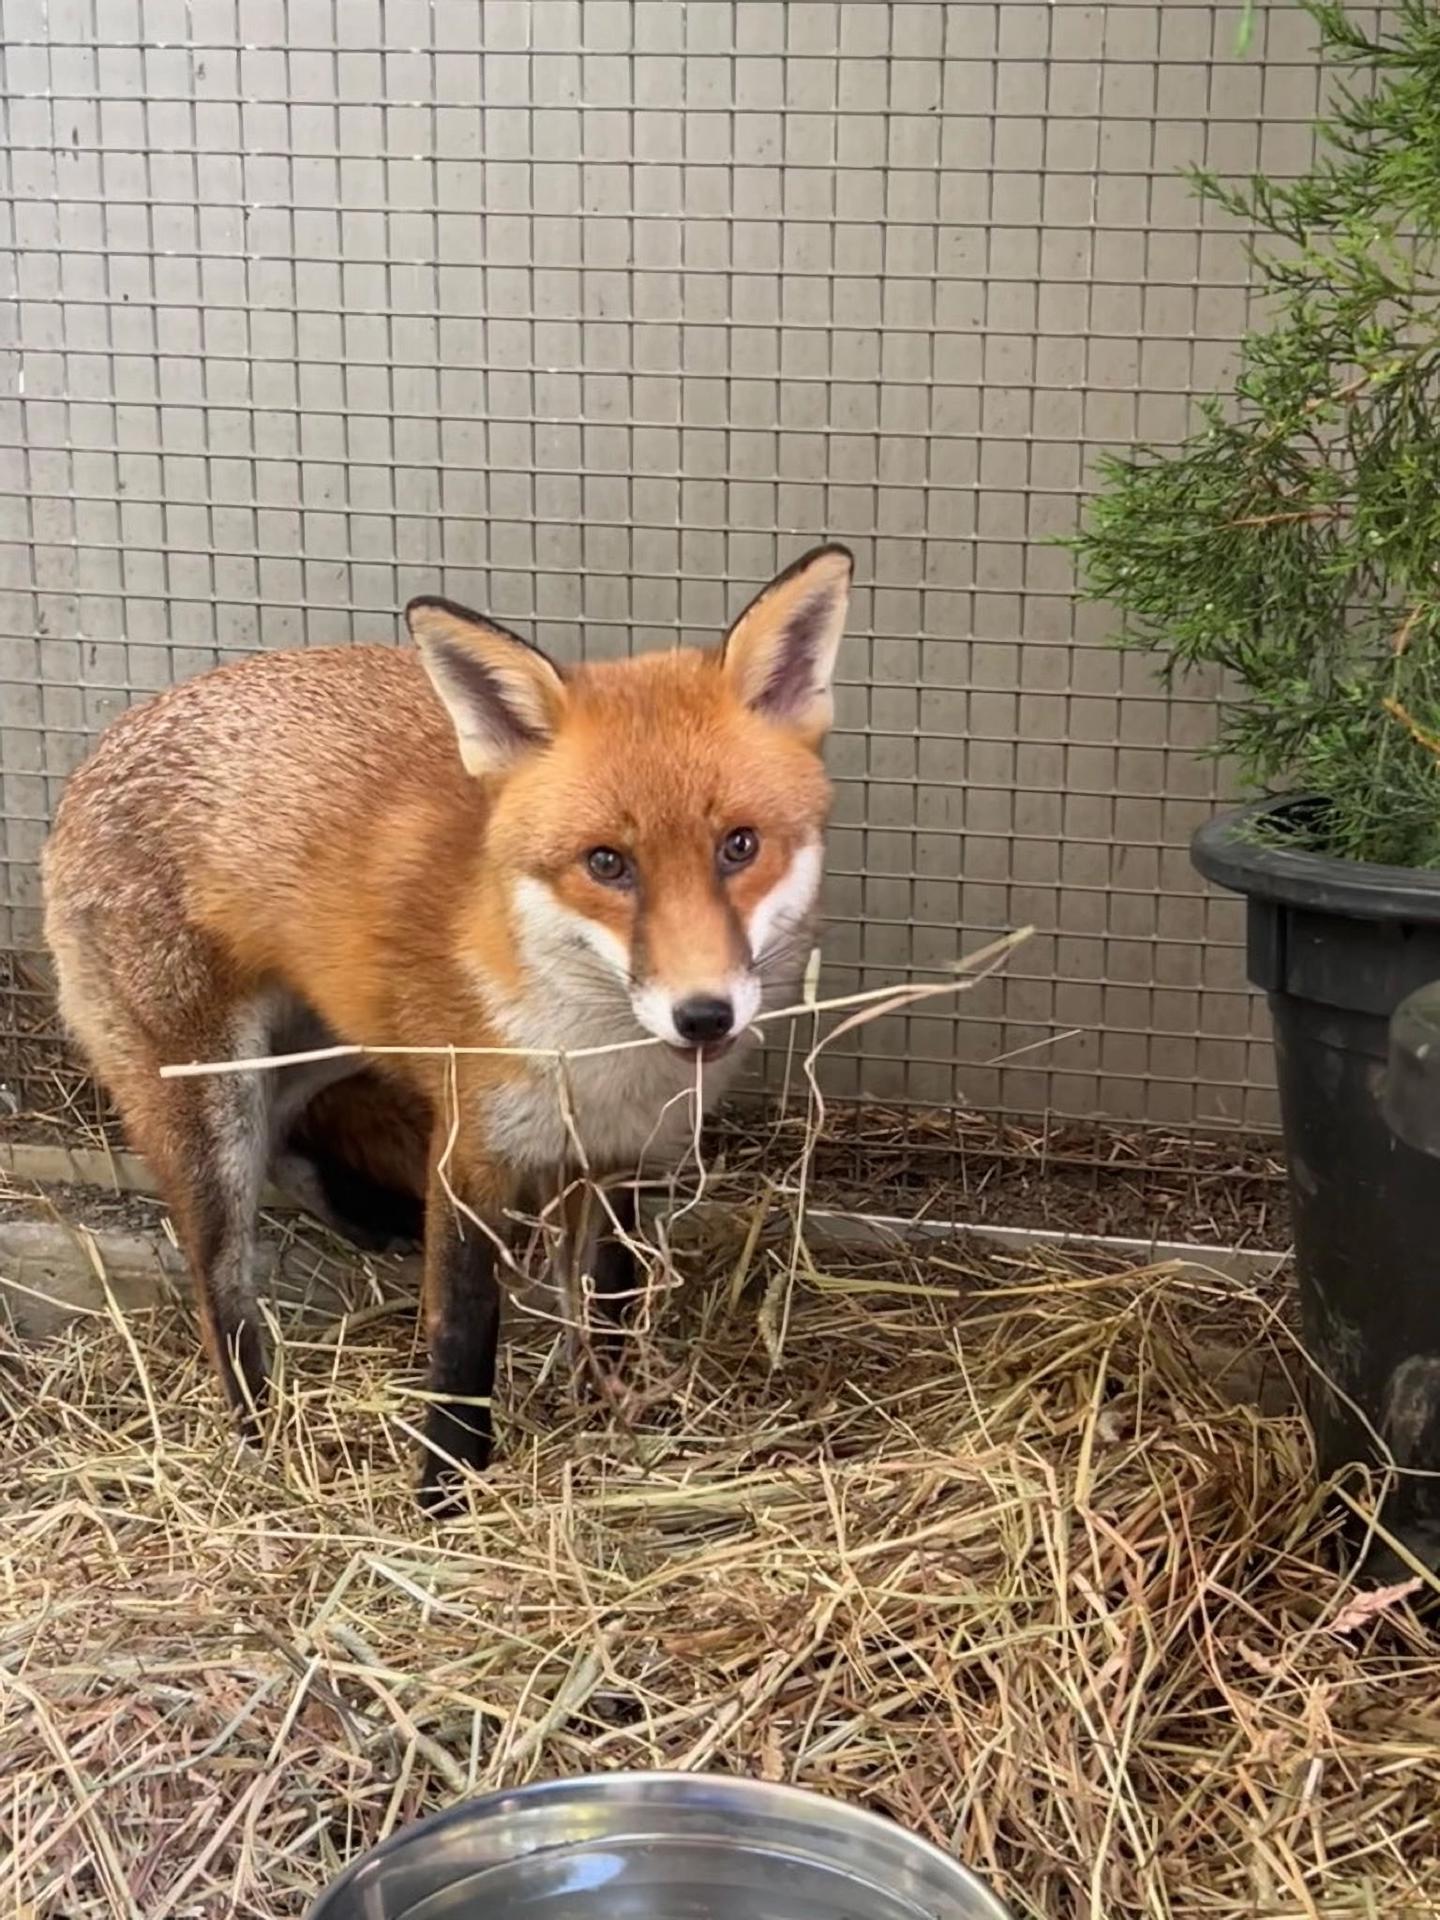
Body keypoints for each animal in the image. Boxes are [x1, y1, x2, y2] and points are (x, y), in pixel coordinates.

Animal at [41, 545, 854, 1506]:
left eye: (739, 846)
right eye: (607, 864)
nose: (702, 1015)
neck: (598, 1055)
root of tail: (107, 740)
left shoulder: (620, 1153)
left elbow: (610, 1299)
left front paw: (611, 1413)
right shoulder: (469, 1151)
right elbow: (465, 1333)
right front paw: (445, 1489)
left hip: (329, 1044)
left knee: (290, 1134)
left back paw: (369, 1223)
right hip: (209, 1097)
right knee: (220, 1280)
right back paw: (257, 1426)